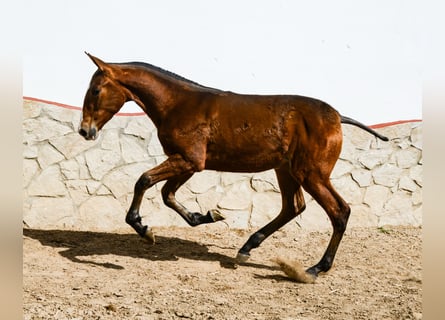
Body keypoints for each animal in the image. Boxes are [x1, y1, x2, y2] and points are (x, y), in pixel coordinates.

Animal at [80, 53, 388, 280]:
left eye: (95, 90)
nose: (85, 130)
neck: (177, 104)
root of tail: (337, 117)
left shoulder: (188, 160)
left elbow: (144, 180)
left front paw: (143, 229)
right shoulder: (189, 163)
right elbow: (168, 195)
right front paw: (207, 216)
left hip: (311, 173)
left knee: (339, 211)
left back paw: (314, 268)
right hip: (287, 170)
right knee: (293, 207)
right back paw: (247, 248)